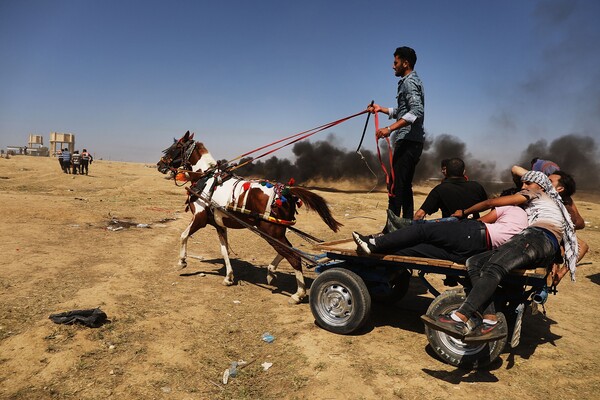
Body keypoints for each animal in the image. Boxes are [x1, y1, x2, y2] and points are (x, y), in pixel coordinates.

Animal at [156, 131, 342, 304]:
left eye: (174, 147)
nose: (159, 164)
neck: (205, 179)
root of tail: (287, 191)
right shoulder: (219, 225)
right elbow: (224, 250)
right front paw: (229, 277)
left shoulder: (200, 219)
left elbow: (183, 235)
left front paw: (182, 261)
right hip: (275, 232)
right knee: (288, 250)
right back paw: (271, 271)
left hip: (271, 232)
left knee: (294, 256)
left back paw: (298, 294)